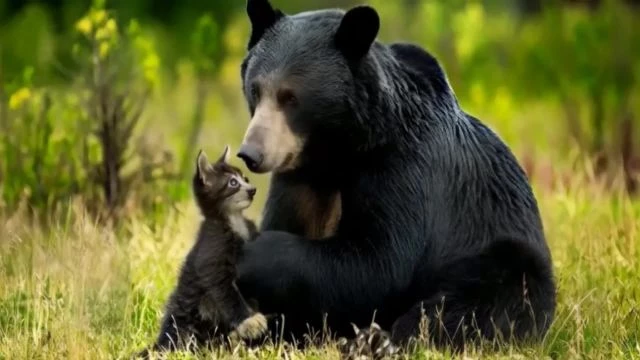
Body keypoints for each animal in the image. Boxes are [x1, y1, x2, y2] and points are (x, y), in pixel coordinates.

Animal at [234, 0, 556, 350]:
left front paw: (251, 254)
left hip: (500, 252)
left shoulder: (402, 167)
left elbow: (377, 262)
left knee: (486, 297)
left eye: (290, 97)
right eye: (256, 90)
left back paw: (383, 339)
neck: (336, 152)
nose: (251, 153)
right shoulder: (299, 181)